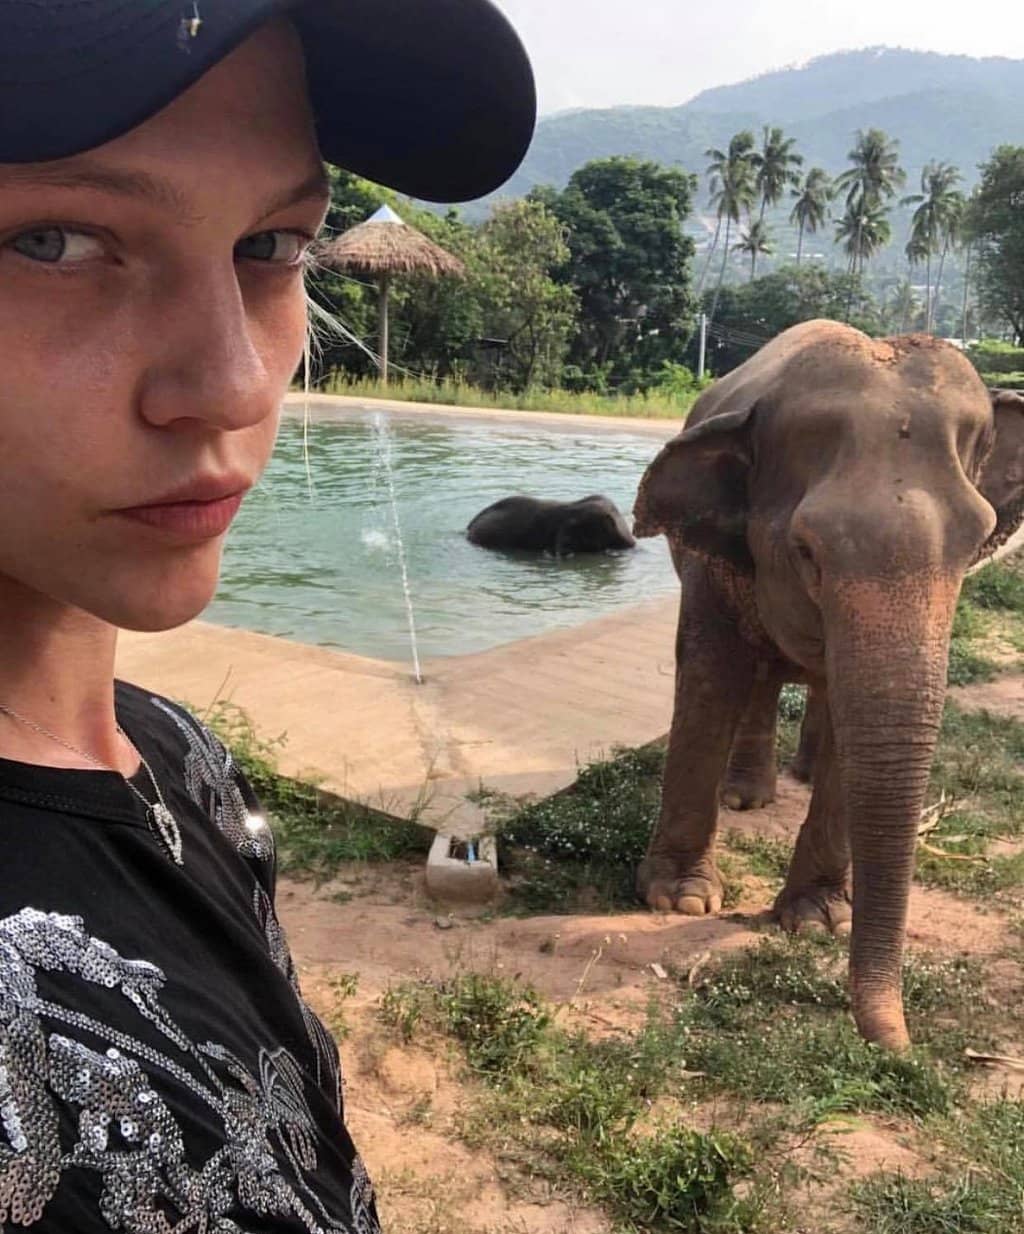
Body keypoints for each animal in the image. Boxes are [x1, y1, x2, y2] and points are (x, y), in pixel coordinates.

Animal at [633, 320, 1024, 1051]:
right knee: (758, 681)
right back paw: (747, 797)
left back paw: (802, 775)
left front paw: (816, 919)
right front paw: (679, 898)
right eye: (806, 552)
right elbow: (710, 678)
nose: (898, 1049)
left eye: (976, 544)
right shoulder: (713, 564)